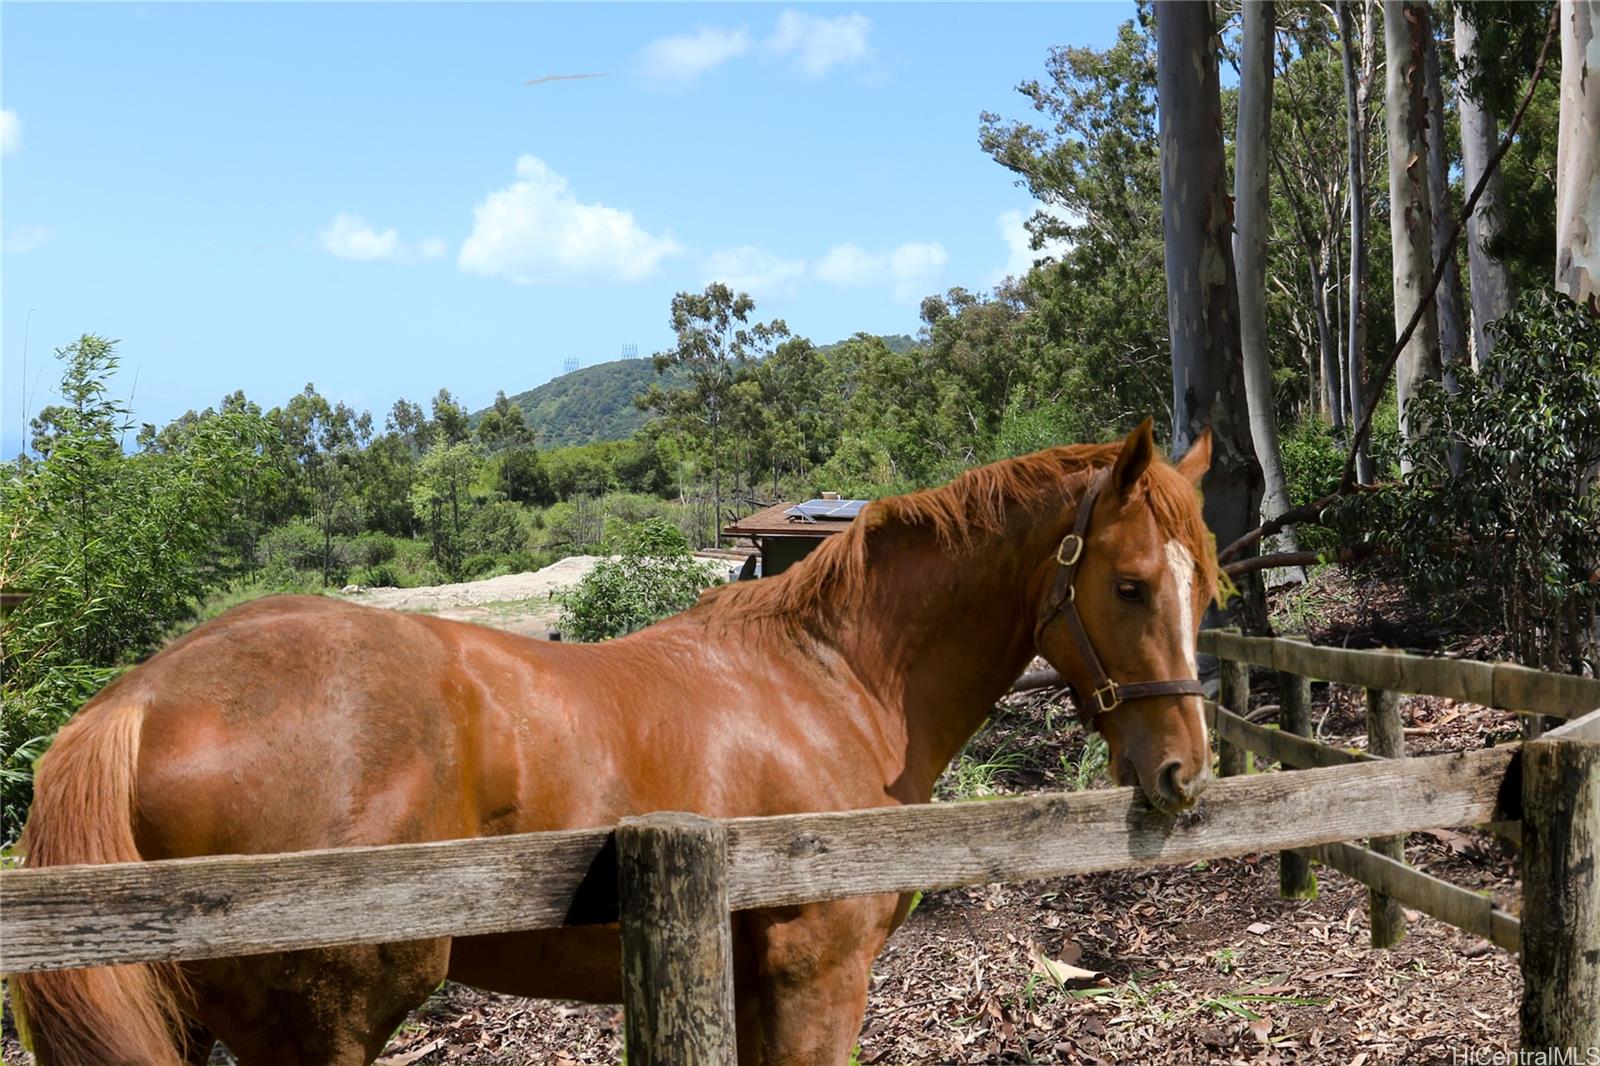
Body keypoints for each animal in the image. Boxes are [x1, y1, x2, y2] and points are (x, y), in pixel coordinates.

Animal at [12, 416, 1216, 1062]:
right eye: (1128, 583)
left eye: (1208, 582)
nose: (1183, 772)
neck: (831, 681)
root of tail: (141, 700)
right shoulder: (818, 971)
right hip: (321, 1025)